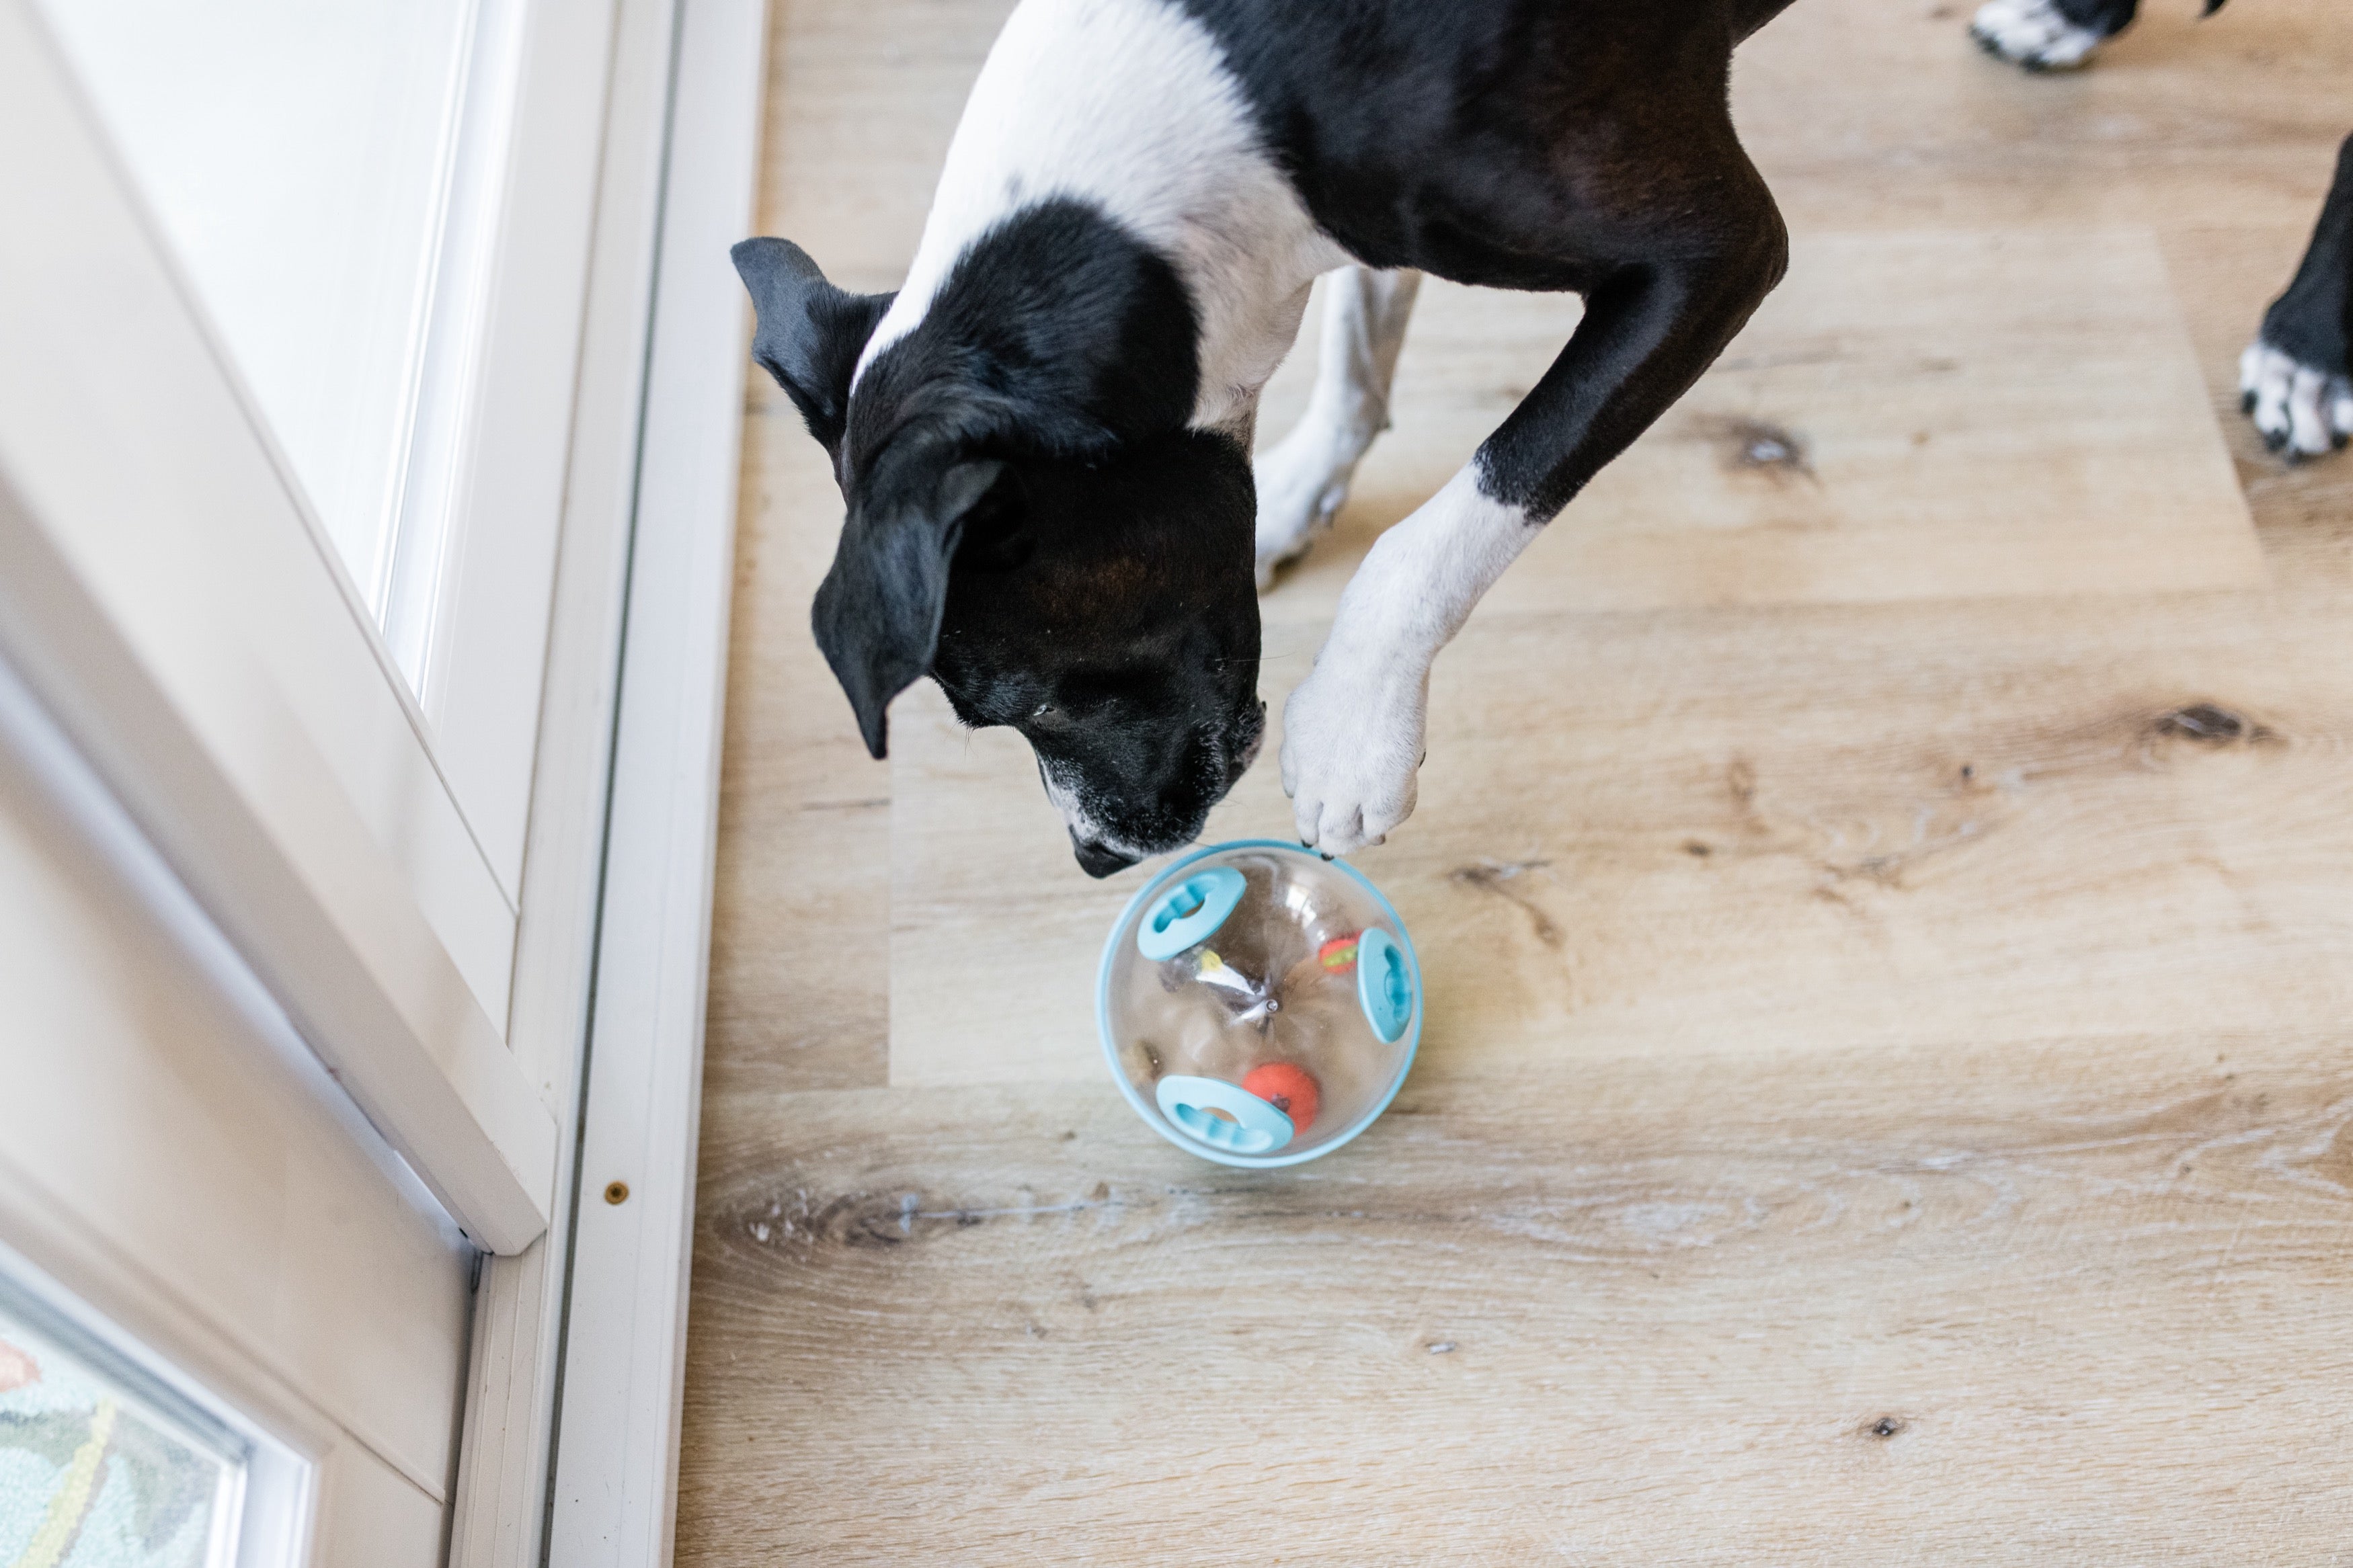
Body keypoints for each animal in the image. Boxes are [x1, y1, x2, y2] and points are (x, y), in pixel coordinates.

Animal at [734, 0, 2353, 879]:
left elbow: (1472, 505)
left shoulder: (1707, 255)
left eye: (1022, 697)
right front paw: (1293, 491)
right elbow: (1359, 344)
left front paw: (1358, 723)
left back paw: (2307, 340)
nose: (1097, 857)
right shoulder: (1347, 222)